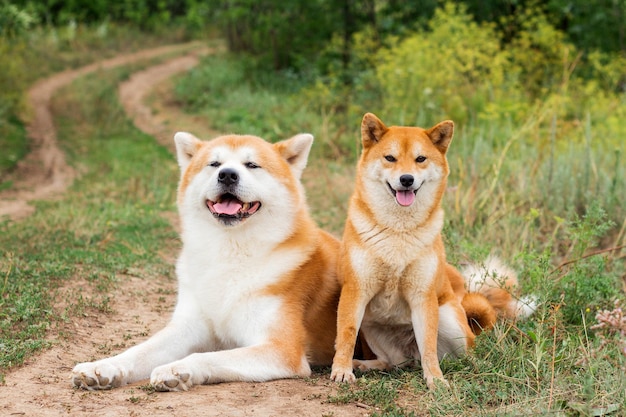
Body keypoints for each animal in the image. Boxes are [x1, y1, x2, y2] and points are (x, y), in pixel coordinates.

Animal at [73, 132, 342, 388]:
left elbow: (207, 356)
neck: (229, 252)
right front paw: (103, 366)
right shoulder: (188, 326)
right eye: (214, 164)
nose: (228, 175)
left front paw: (177, 368)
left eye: (252, 165)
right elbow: (138, 351)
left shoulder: (282, 349)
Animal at [330, 113, 532, 386]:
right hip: (371, 326)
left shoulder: (422, 296)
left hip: (449, 320)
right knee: (392, 362)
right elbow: (347, 335)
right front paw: (341, 369)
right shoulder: (356, 291)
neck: (398, 232)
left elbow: (428, 345)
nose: (406, 179)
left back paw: (477, 366)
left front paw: (435, 380)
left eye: (420, 159)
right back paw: (363, 364)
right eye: (390, 158)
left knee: (464, 351)